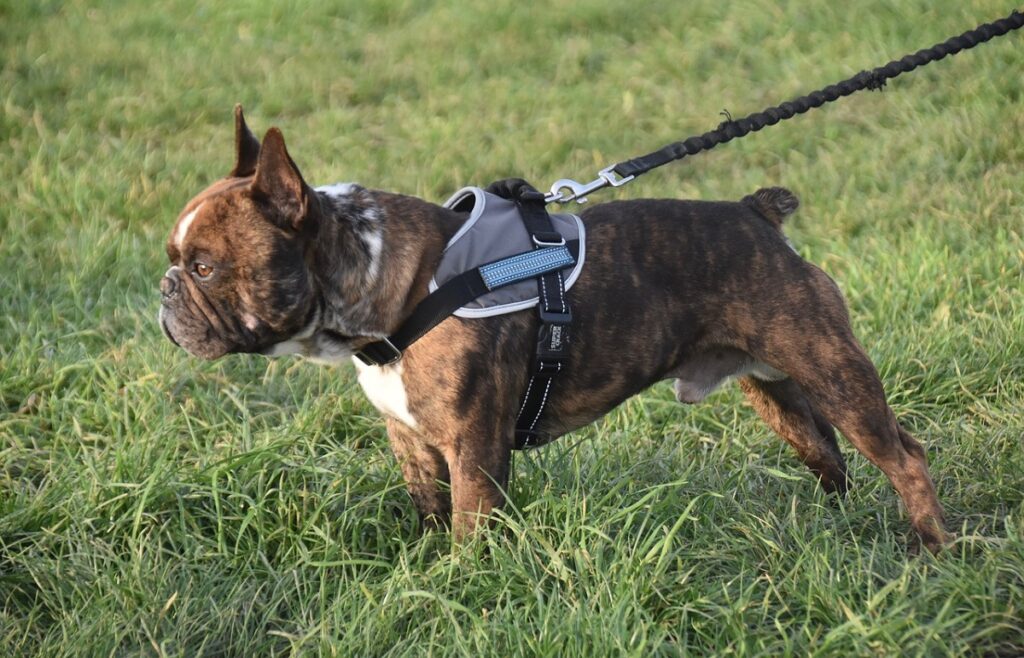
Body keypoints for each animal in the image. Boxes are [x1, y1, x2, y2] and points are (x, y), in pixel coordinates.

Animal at [159, 106, 950, 552]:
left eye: (203, 267)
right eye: (177, 260)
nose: (164, 290)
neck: (390, 290)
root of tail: (758, 217)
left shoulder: (474, 449)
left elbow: (470, 530)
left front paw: (462, 588)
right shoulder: (412, 442)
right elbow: (427, 513)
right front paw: (422, 575)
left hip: (833, 369)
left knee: (902, 456)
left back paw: (931, 549)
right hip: (777, 388)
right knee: (828, 454)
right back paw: (836, 528)